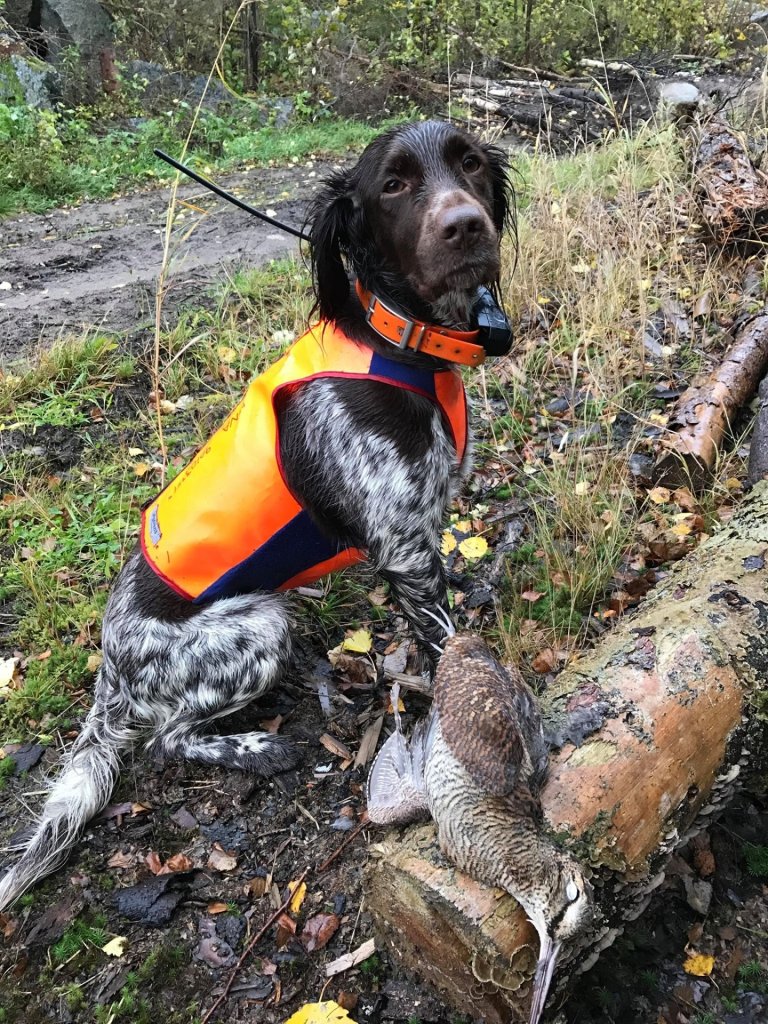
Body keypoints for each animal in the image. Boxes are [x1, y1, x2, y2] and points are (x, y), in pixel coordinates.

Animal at [1, 116, 512, 909]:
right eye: (393, 183)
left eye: (472, 164)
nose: (465, 225)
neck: (405, 345)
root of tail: (110, 667)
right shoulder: (405, 549)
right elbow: (447, 643)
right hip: (256, 627)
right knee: (166, 739)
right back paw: (257, 747)